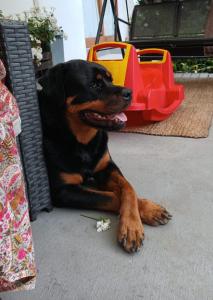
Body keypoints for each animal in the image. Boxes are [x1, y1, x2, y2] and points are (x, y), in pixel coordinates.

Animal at [37, 60, 171, 253]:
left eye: (110, 80)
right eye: (94, 85)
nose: (129, 92)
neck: (82, 141)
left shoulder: (107, 166)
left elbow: (128, 188)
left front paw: (148, 210)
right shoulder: (63, 190)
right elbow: (111, 196)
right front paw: (131, 227)